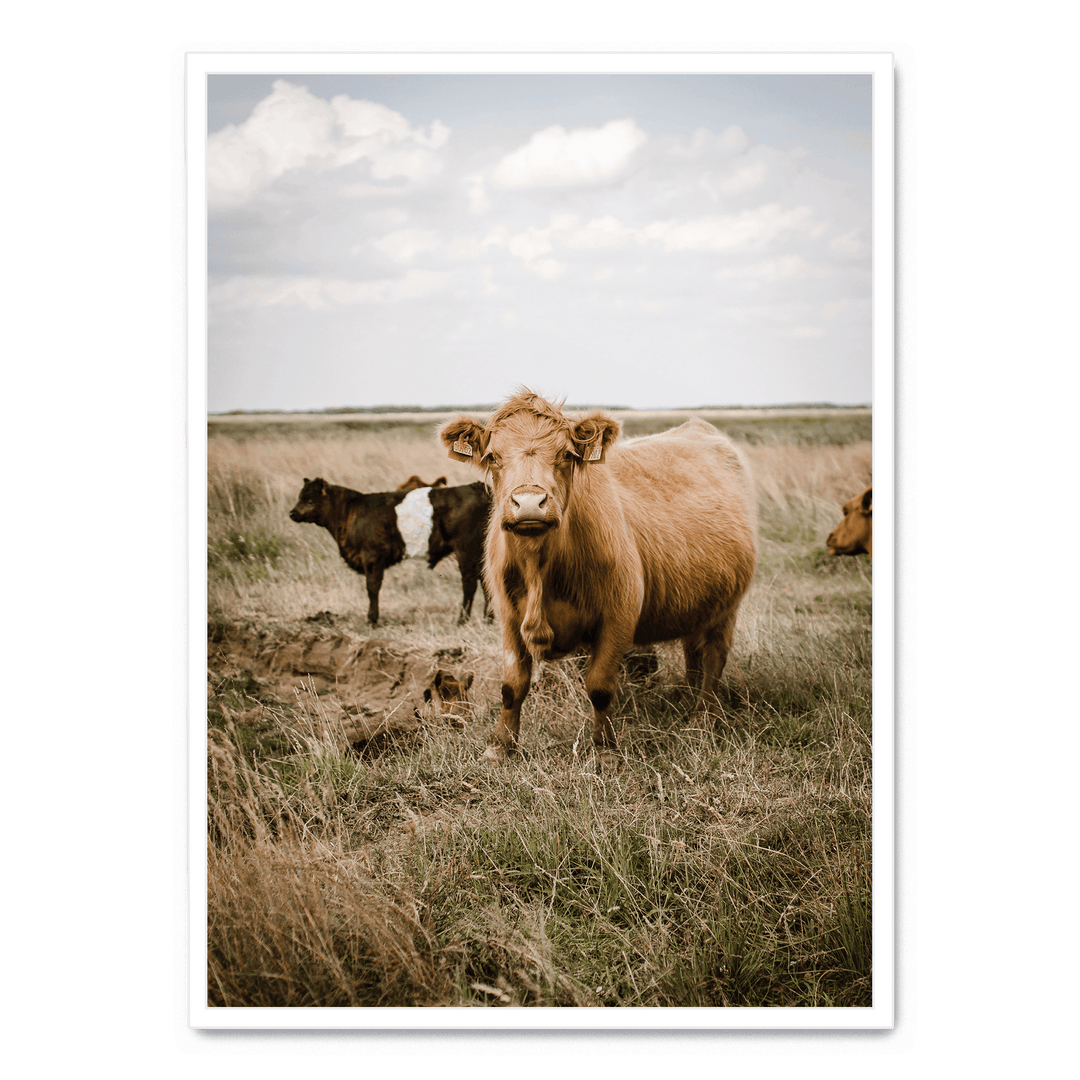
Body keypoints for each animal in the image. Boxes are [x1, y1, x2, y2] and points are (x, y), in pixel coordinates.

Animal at [439, 391, 756, 761]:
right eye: (492, 456)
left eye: (566, 454)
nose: (529, 503)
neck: (540, 568)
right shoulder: (507, 616)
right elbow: (512, 685)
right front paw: (500, 746)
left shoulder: (619, 615)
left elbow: (600, 686)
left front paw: (605, 748)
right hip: (698, 599)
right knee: (693, 650)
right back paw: (689, 698)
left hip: (727, 605)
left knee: (714, 656)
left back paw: (703, 716)